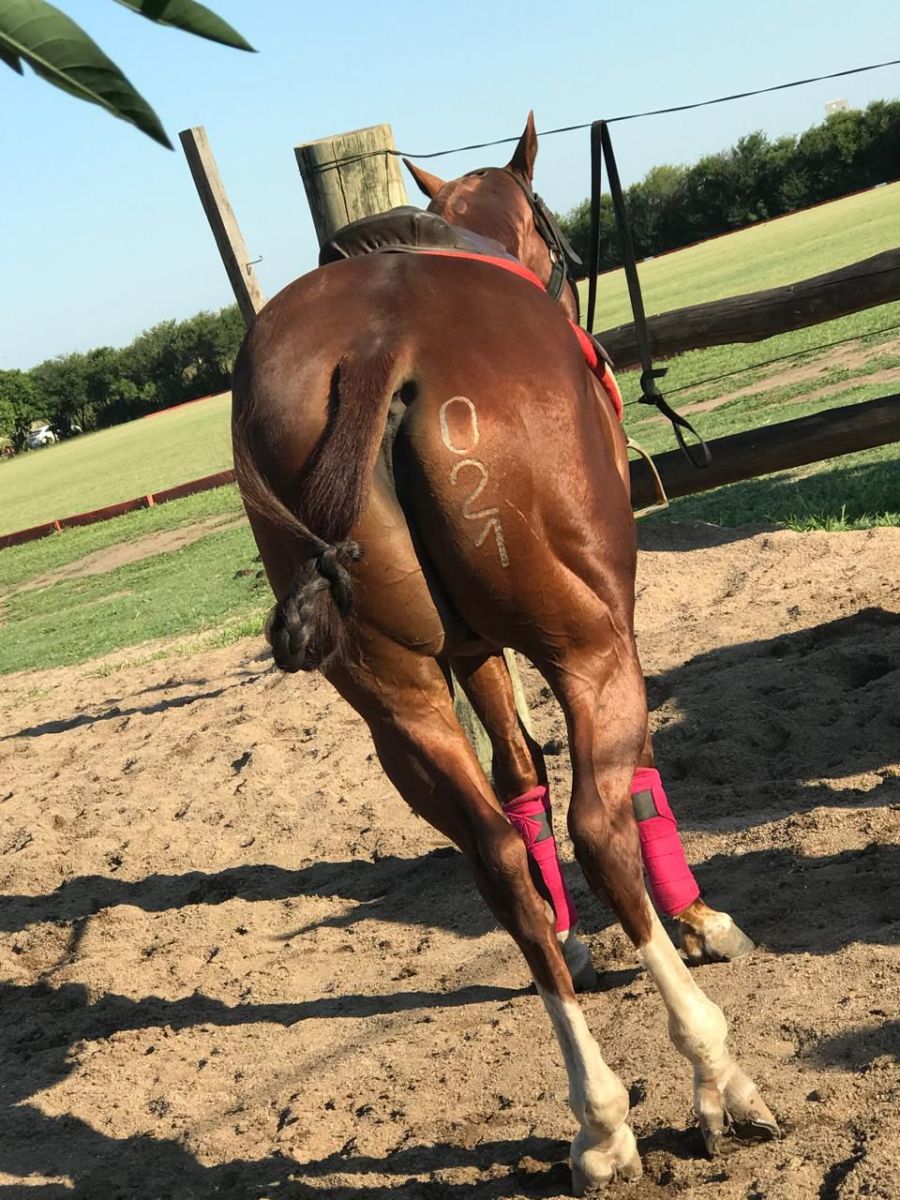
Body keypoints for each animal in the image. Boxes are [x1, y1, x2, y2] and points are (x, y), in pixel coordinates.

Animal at [231, 114, 778, 1192]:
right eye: (564, 244)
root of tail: (378, 344)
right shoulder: (611, 630)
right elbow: (635, 782)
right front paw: (699, 920)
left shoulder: (476, 652)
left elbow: (518, 771)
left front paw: (578, 940)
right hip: (590, 648)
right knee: (600, 827)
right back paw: (715, 1076)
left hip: (398, 703)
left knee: (496, 859)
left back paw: (600, 1121)